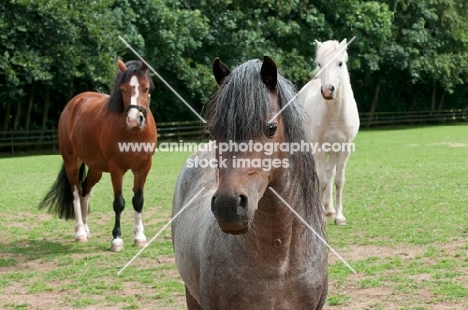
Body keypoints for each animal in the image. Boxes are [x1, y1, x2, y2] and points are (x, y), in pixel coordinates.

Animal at [39, 58, 156, 252]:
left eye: (146, 88)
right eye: (122, 89)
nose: (134, 119)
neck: (134, 133)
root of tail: (75, 102)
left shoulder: (143, 167)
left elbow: (138, 200)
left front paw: (139, 237)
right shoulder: (116, 169)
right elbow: (119, 203)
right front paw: (116, 239)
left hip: (96, 169)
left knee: (86, 191)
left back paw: (86, 229)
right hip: (72, 162)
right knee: (76, 193)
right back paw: (80, 232)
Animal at [298, 39, 360, 225]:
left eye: (340, 63)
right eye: (320, 64)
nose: (327, 90)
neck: (334, 114)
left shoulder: (344, 148)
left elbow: (338, 180)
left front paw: (338, 216)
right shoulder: (318, 148)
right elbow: (322, 180)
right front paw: (320, 216)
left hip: (332, 150)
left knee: (330, 172)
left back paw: (329, 209)